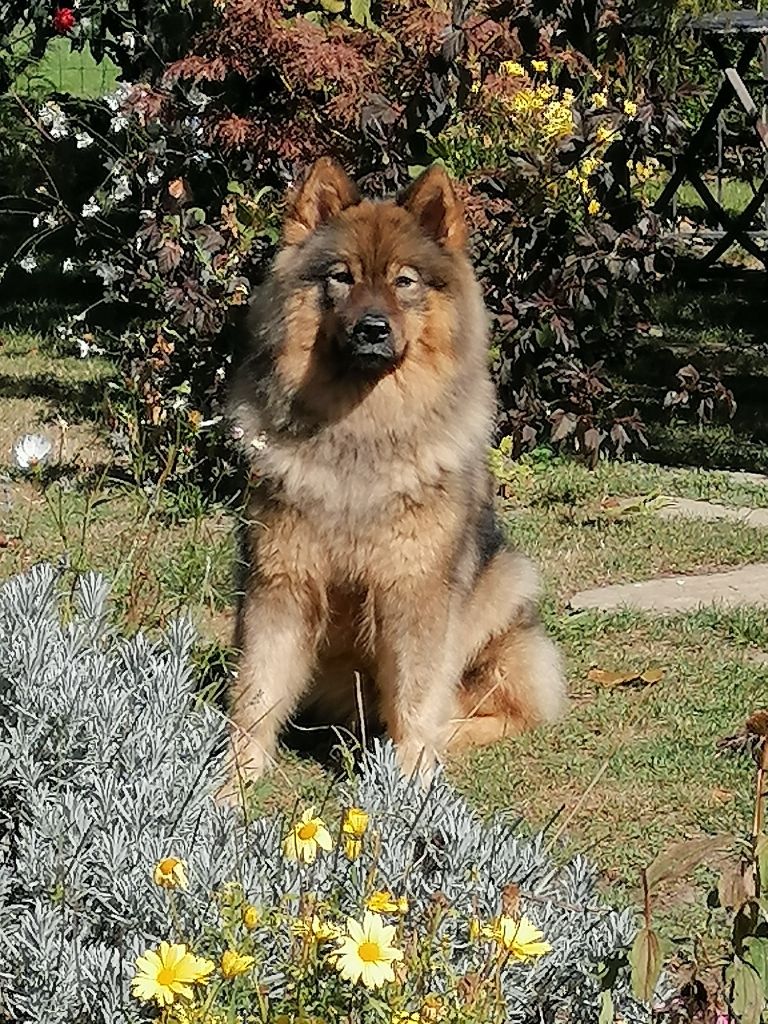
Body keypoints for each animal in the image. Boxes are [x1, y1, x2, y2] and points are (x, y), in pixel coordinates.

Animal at [222, 157, 565, 790]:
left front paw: (407, 781)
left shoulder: (415, 593)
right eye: (341, 277)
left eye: (405, 281)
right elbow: (255, 691)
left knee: (495, 706)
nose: (373, 328)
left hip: (504, 593)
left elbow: (415, 696)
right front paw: (231, 781)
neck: (362, 431)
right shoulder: (281, 583)